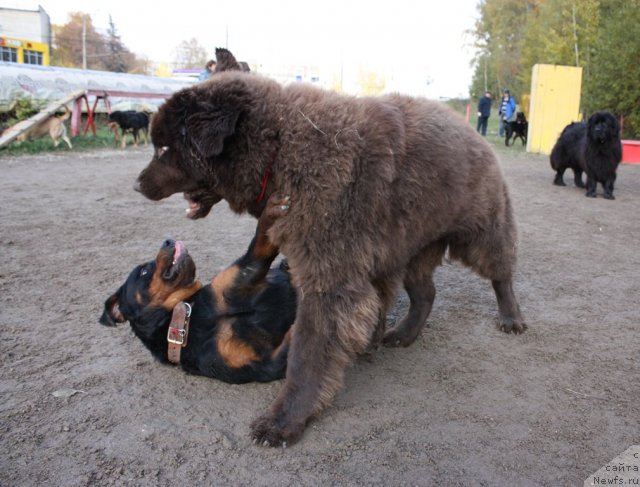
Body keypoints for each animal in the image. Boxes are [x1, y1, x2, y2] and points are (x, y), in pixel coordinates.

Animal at [100, 194, 298, 386]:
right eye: (143, 271)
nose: (168, 241)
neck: (191, 319)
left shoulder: (242, 274)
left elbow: (261, 241)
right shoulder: (263, 365)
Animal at [134, 70, 524, 448]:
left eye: (164, 148)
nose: (137, 185)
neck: (280, 150)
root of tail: (468, 128)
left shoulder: (328, 279)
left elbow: (307, 354)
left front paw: (285, 420)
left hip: (480, 232)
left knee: (501, 273)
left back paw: (512, 318)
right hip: (411, 248)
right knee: (425, 294)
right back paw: (402, 334)